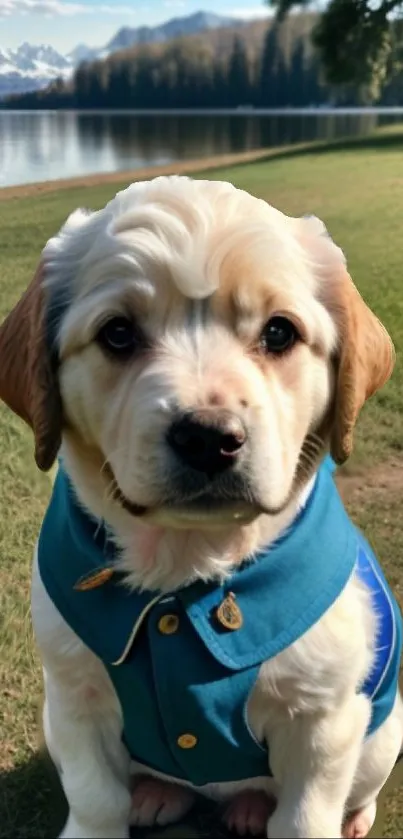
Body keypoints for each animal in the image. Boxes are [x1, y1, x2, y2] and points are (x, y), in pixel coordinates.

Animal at [0, 177, 403, 839]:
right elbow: (94, 797)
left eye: (279, 332)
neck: (186, 559)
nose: (209, 439)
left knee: (348, 788)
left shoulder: (322, 721)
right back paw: (158, 794)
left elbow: (303, 817)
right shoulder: (72, 696)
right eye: (117, 333)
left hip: (379, 732)